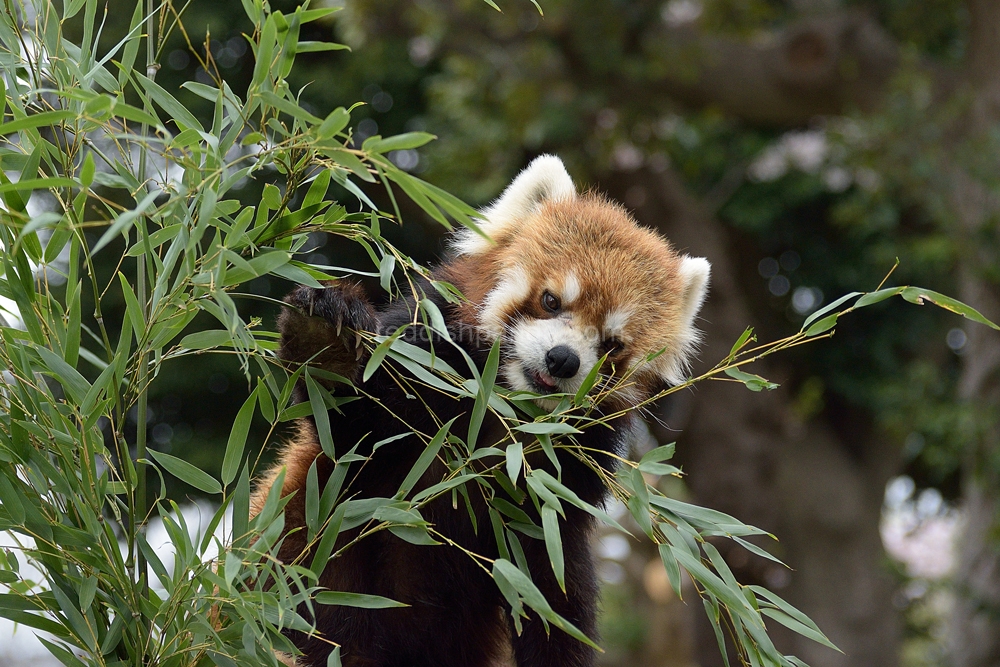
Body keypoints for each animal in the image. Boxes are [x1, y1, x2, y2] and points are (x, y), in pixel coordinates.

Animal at [250, 155, 712, 667]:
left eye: (611, 345)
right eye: (551, 300)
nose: (563, 360)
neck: (501, 412)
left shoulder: (553, 498)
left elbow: (553, 593)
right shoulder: (419, 364)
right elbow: (353, 429)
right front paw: (328, 345)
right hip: (306, 543)